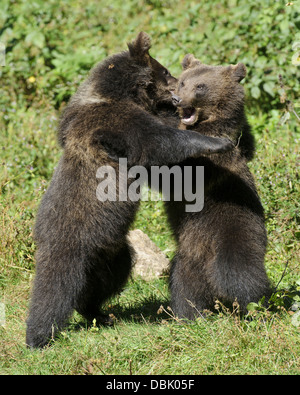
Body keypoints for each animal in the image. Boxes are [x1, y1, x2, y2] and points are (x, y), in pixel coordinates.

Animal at [26, 35, 232, 348]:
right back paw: (39, 335)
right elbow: (156, 140)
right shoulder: (115, 122)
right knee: (55, 287)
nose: (177, 94)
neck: (122, 95)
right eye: (166, 71)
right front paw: (217, 142)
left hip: (113, 251)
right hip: (70, 241)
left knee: (109, 279)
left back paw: (97, 312)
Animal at [166, 54, 272, 318]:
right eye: (183, 82)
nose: (177, 99)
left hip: (234, 230)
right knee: (184, 283)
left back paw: (256, 306)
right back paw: (189, 313)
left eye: (201, 87)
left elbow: (179, 174)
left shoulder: (211, 159)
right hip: (188, 252)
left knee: (240, 272)